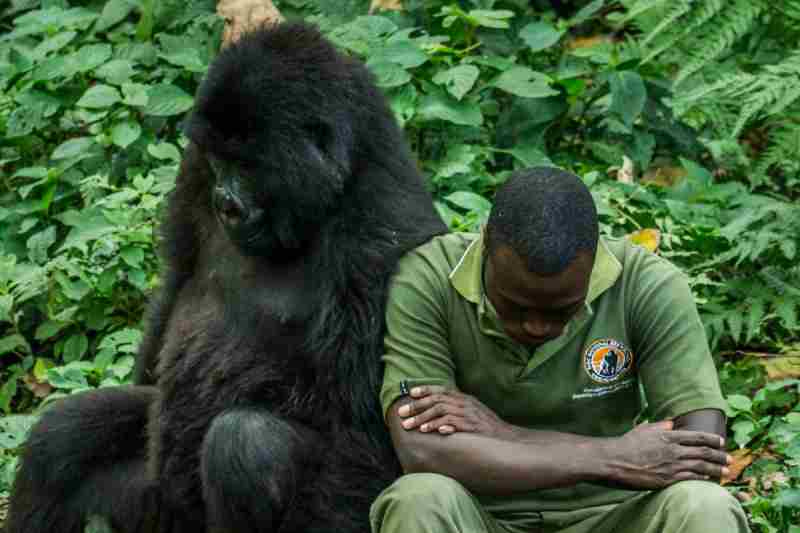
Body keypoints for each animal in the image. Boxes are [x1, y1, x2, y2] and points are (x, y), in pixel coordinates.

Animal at [6, 22, 446, 528]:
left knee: (247, 447)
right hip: (156, 506)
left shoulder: (382, 235)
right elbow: (175, 278)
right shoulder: (194, 164)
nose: (226, 203)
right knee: (63, 434)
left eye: (250, 165)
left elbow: (360, 431)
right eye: (220, 161)